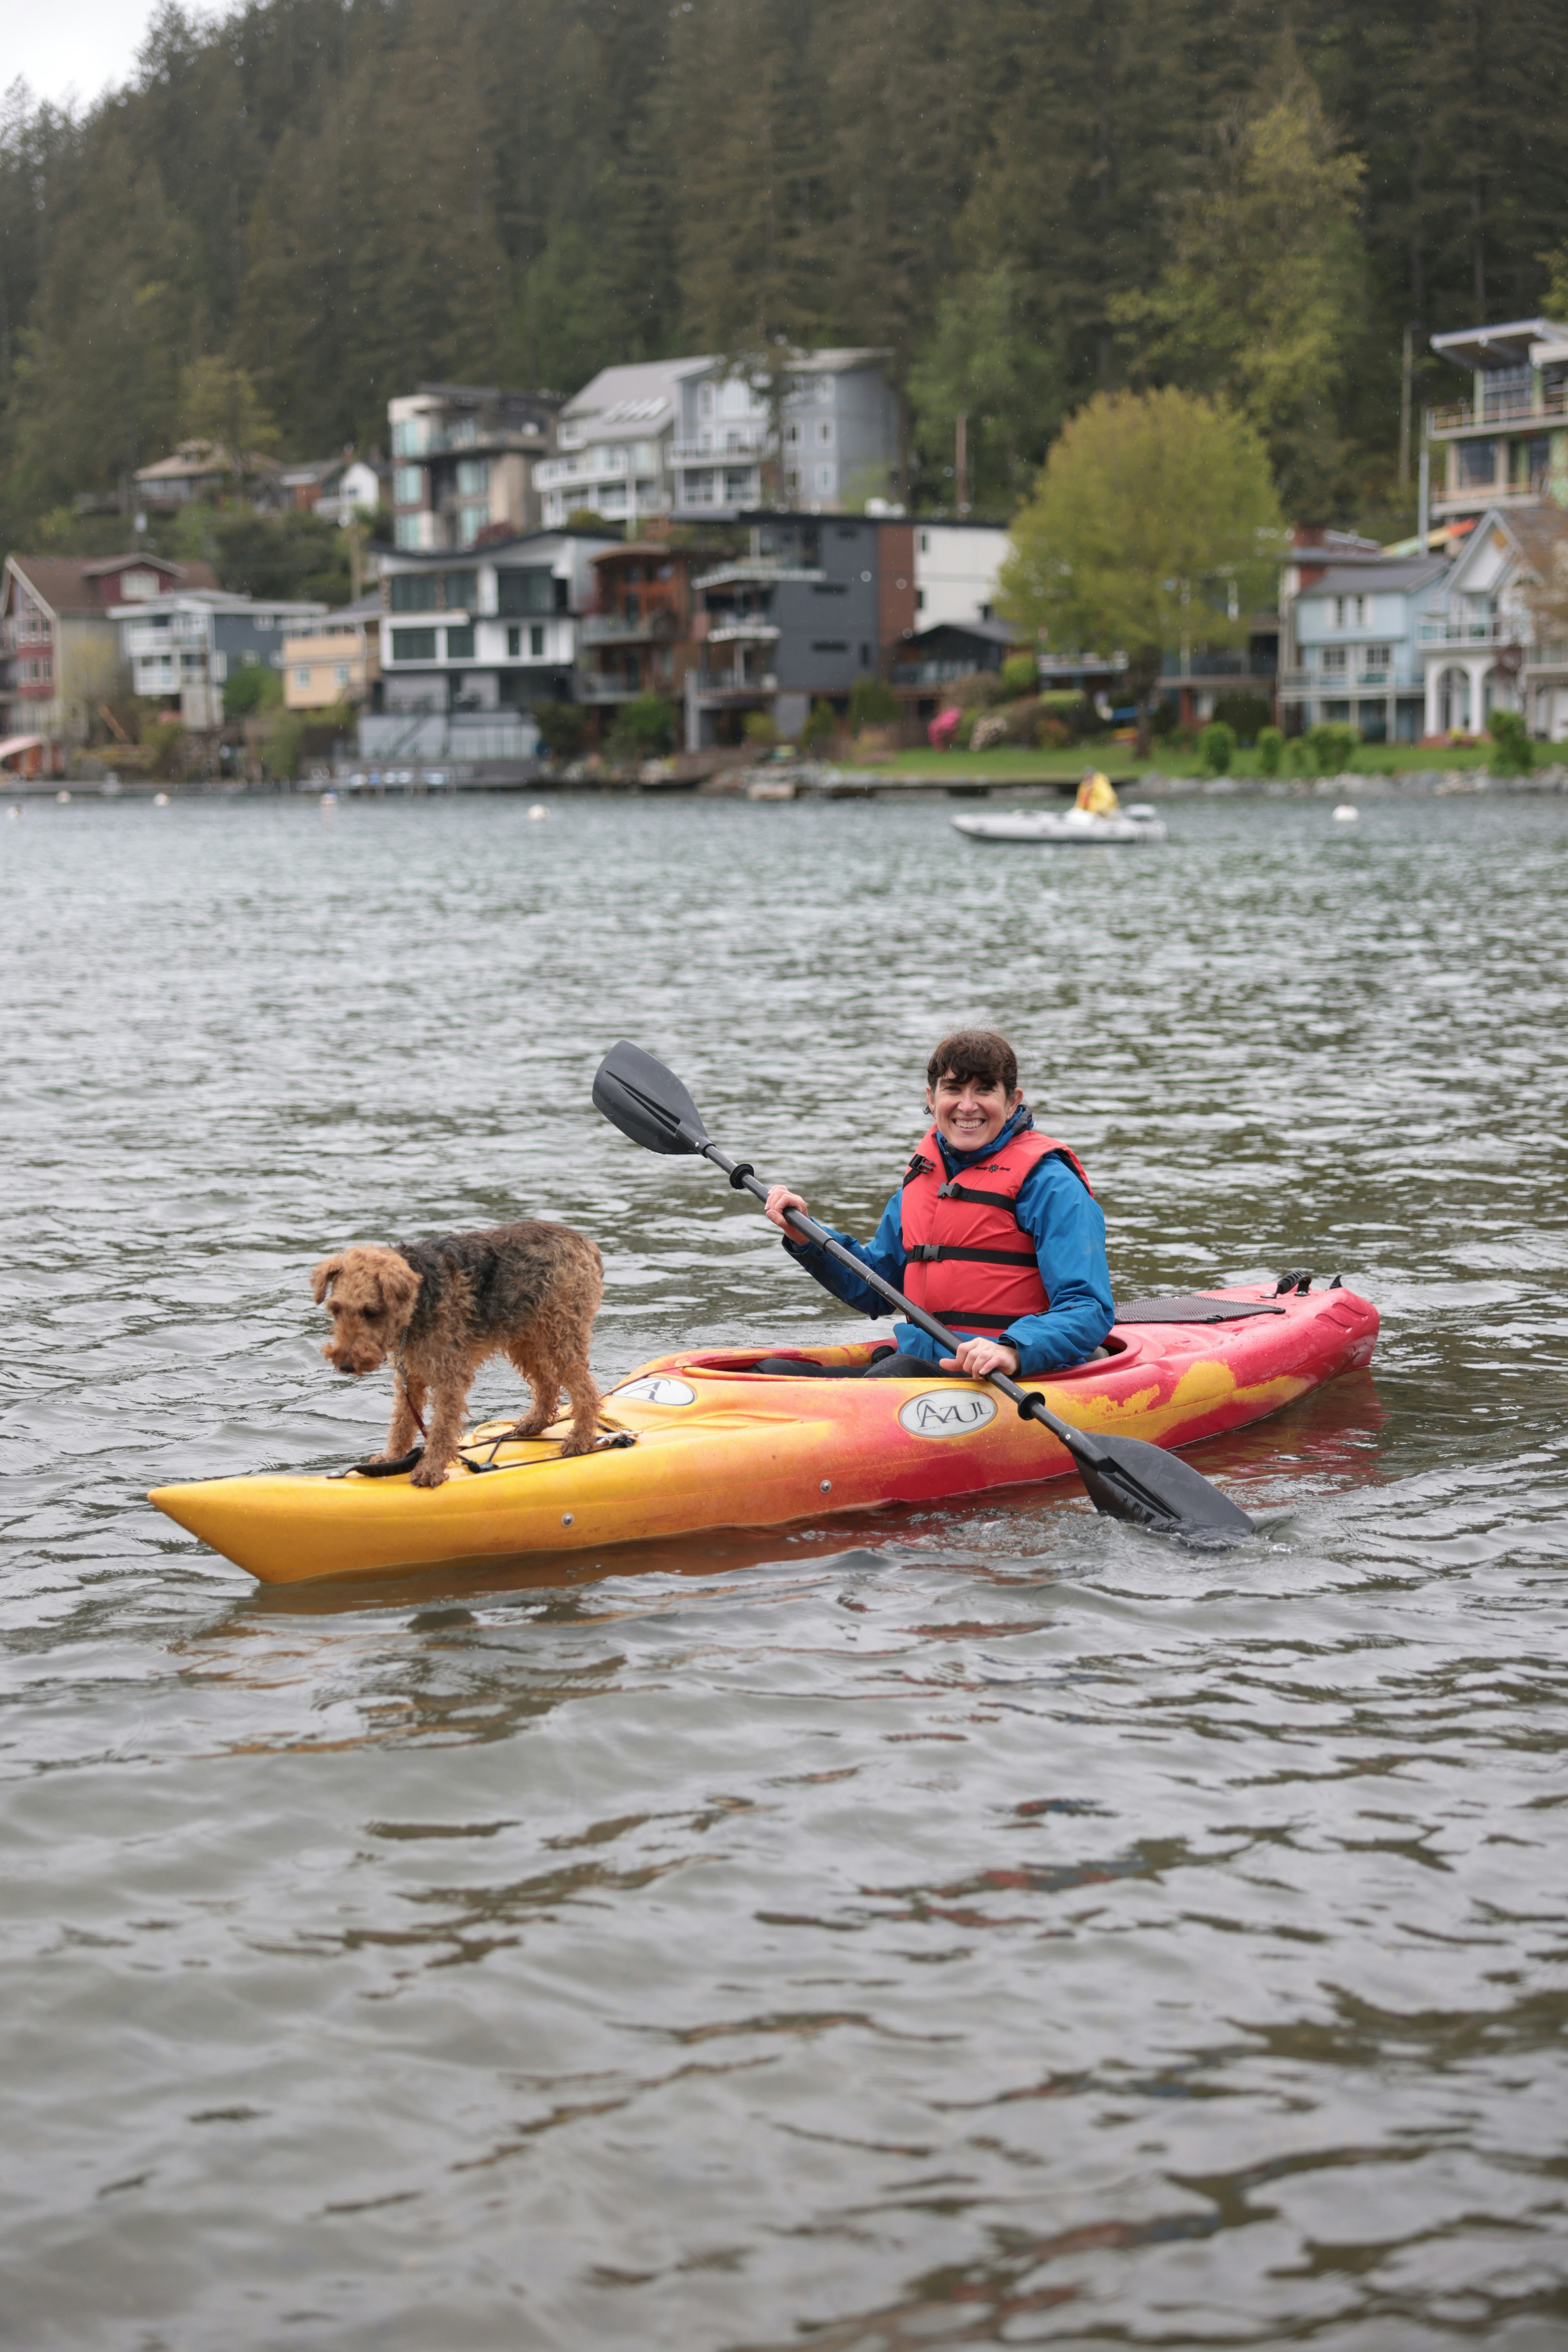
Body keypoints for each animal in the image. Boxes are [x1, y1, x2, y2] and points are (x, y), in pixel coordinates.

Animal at [312, 1222, 603, 1487]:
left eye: (370, 1312)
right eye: (336, 1309)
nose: (345, 1366)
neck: (418, 1301)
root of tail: (584, 1242)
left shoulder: (450, 1376)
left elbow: (441, 1428)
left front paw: (429, 1470)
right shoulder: (411, 1374)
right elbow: (403, 1422)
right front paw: (392, 1458)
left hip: (561, 1336)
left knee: (586, 1392)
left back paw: (580, 1439)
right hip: (525, 1338)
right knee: (548, 1384)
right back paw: (533, 1423)